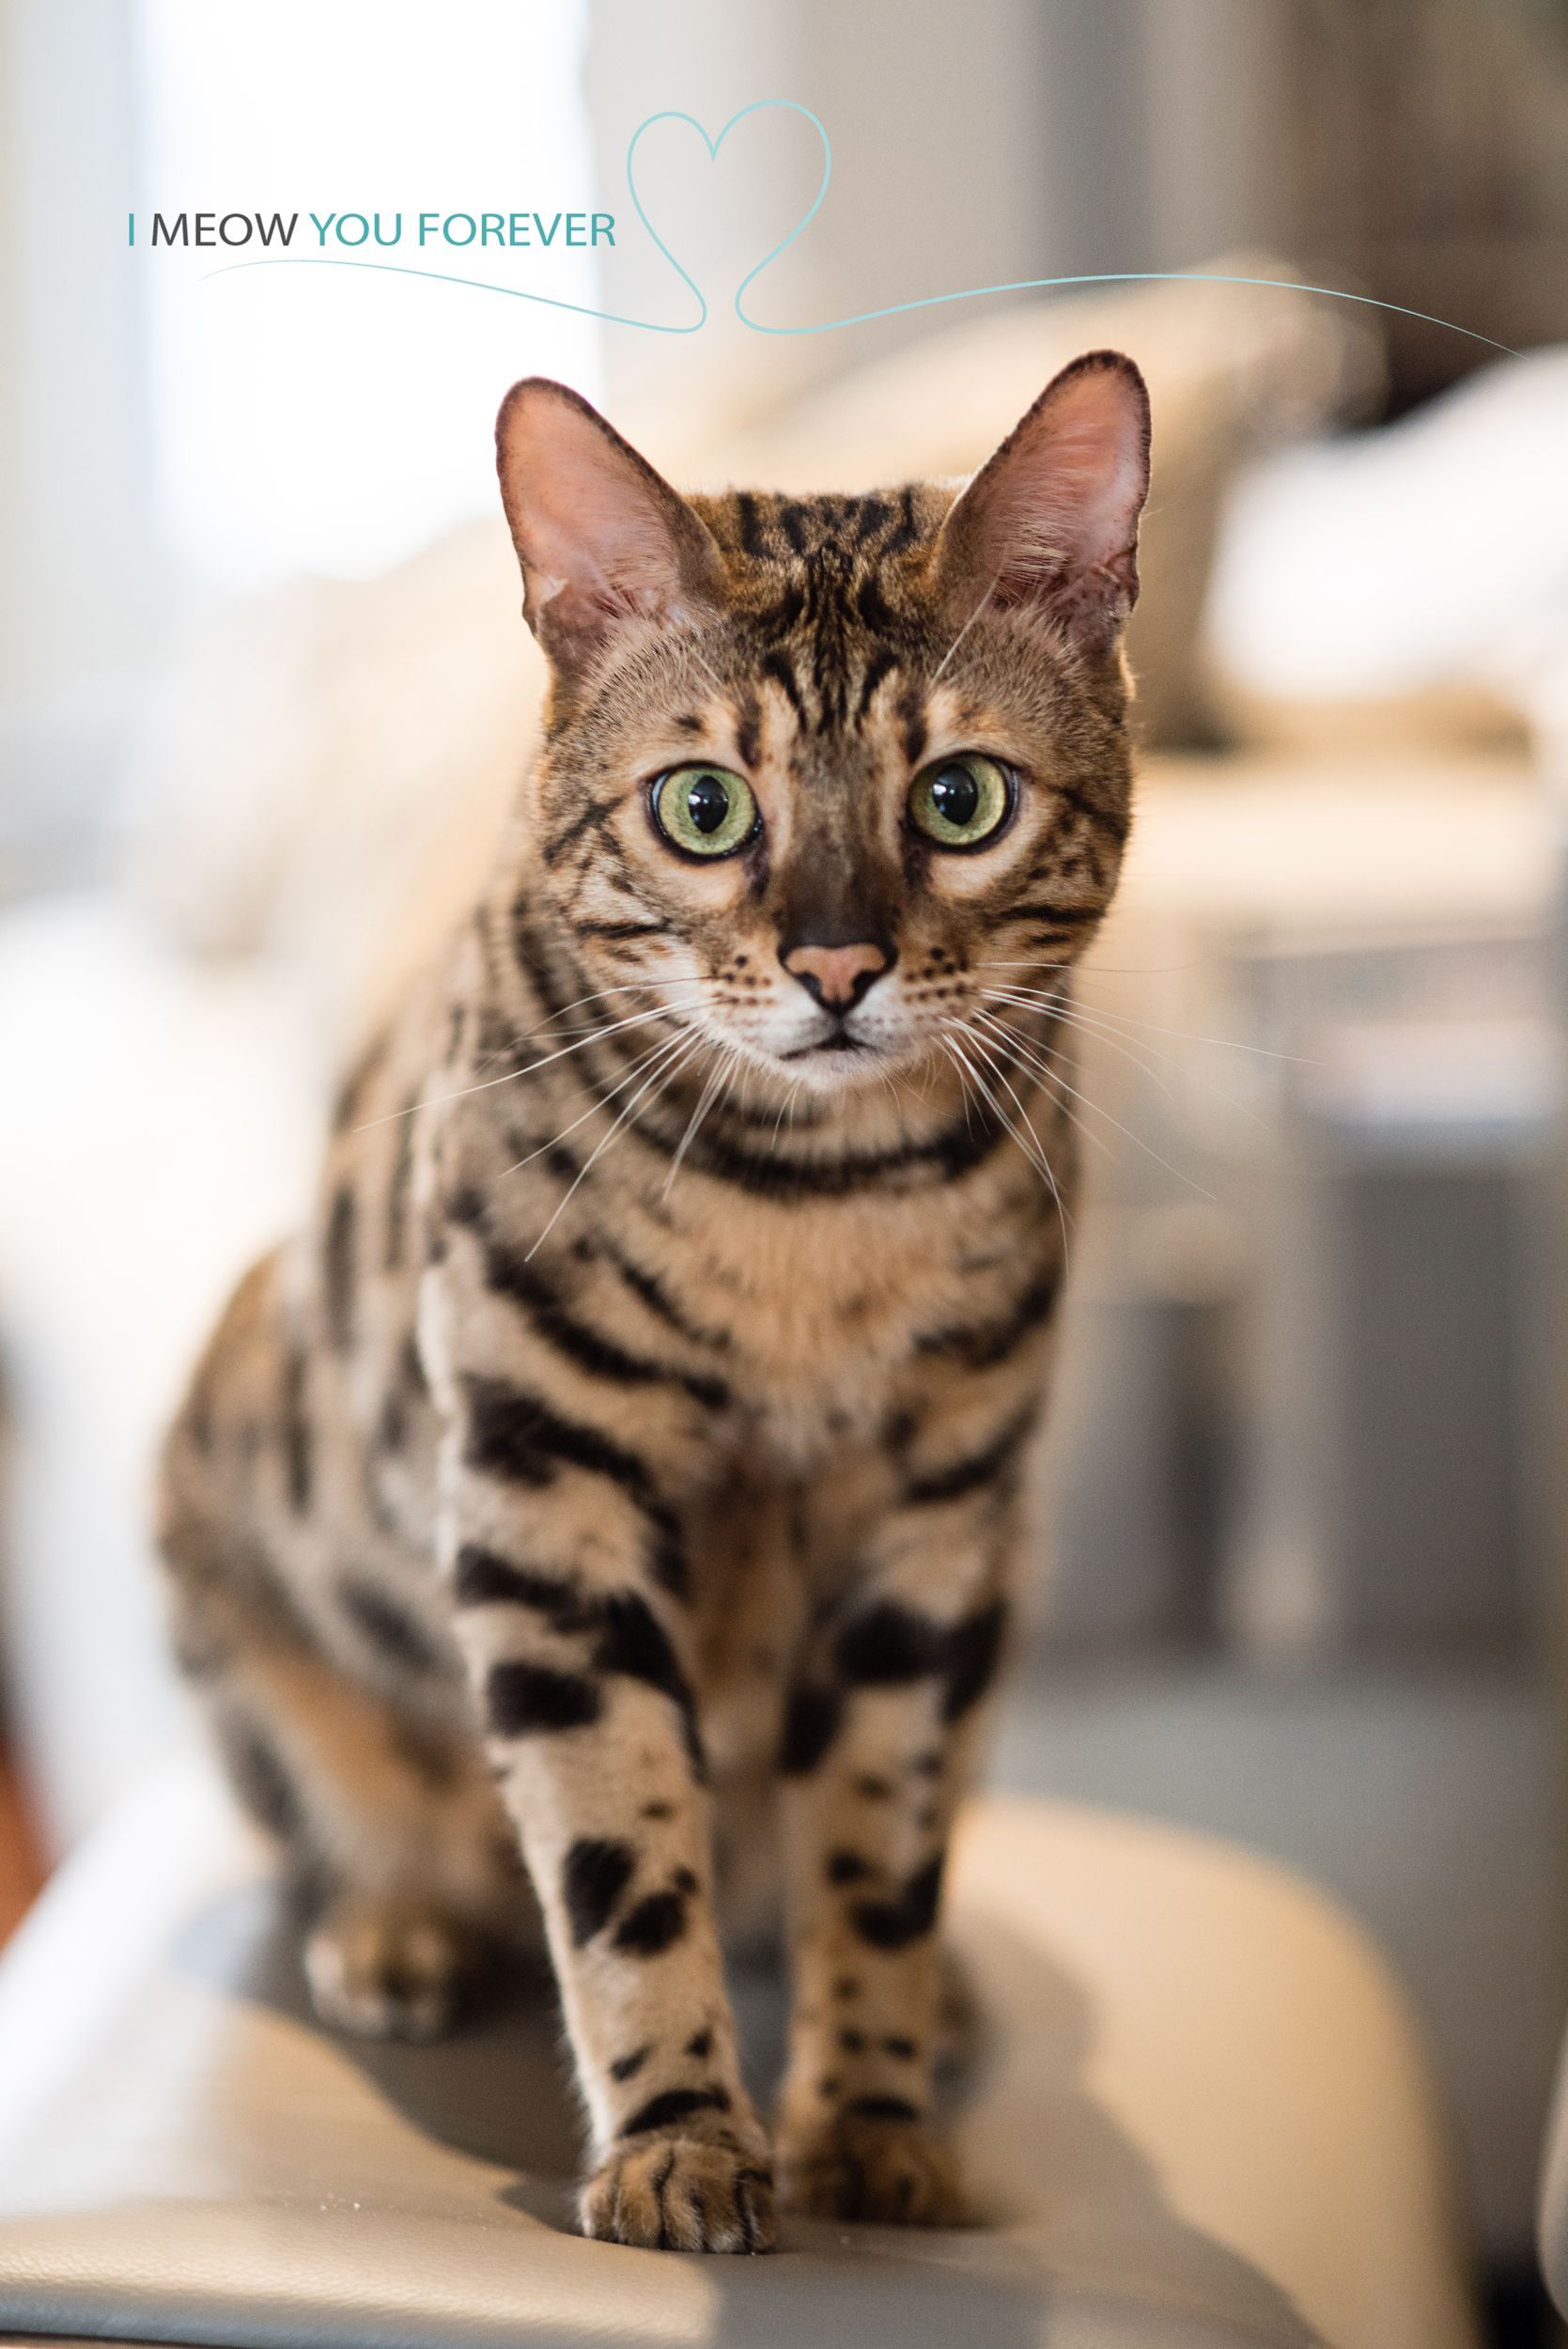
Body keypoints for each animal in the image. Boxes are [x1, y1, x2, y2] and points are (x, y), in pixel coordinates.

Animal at [159, 343, 1150, 2236]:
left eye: (960, 800)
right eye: (705, 809)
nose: (837, 964)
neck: (812, 1217)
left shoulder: (930, 1535)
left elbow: (876, 1858)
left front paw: (869, 2123)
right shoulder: (544, 1500)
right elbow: (618, 1850)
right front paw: (682, 2138)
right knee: (368, 1832)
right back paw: (397, 1924)